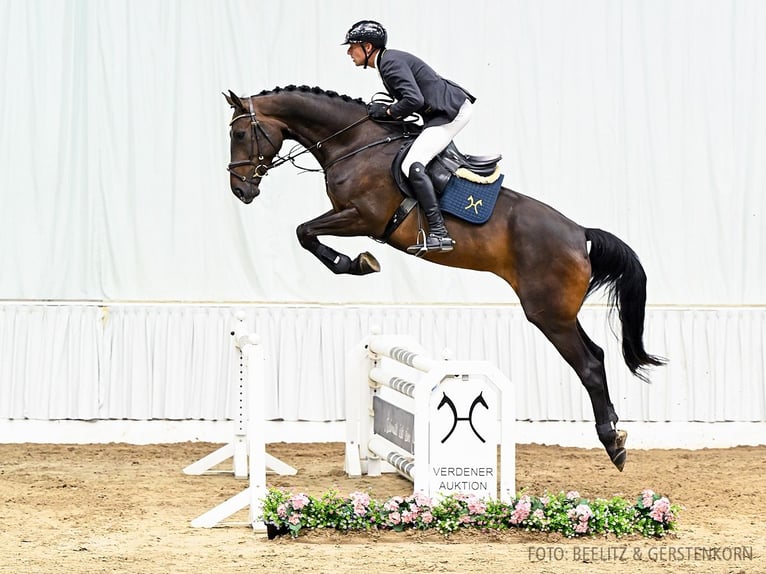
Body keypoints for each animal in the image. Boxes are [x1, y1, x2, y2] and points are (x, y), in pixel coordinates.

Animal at [224, 85, 664, 472]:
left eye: (240, 133)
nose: (240, 190)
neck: (354, 144)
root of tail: (579, 233)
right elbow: (305, 232)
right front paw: (359, 262)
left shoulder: (363, 217)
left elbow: (304, 231)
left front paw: (356, 262)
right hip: (559, 313)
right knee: (598, 355)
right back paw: (615, 434)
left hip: (548, 314)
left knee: (588, 365)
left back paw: (612, 442)